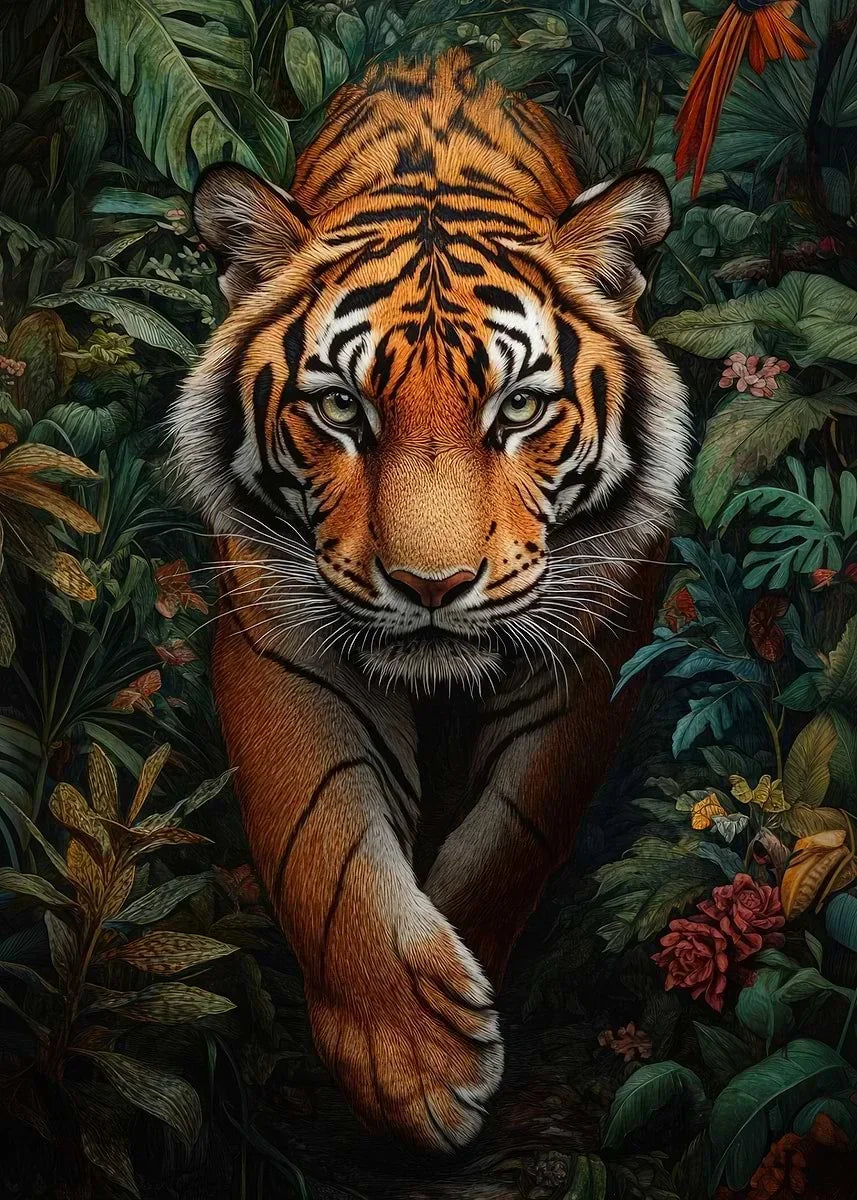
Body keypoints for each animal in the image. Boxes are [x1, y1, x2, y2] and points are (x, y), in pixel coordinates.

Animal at [170, 48, 690, 1152]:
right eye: (340, 407)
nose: (432, 587)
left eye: (520, 407)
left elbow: (515, 831)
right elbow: (320, 838)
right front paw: (411, 1067)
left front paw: (460, 988)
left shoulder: (594, 641)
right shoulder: (280, 638)